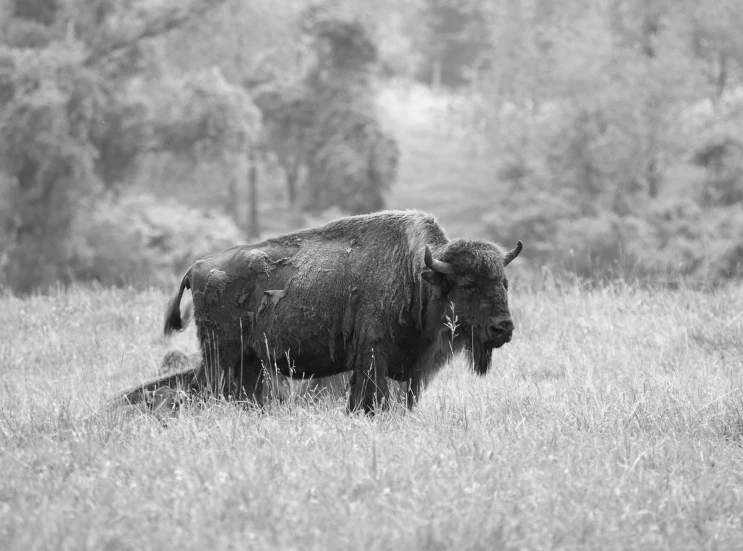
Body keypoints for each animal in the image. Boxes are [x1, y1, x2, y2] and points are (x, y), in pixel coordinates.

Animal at [145, 209, 520, 412]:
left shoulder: (410, 369)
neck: (417, 273)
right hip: (220, 357)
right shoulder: (372, 358)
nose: (503, 328)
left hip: (248, 361)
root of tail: (196, 267)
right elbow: (371, 402)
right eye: (467, 285)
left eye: (504, 283)